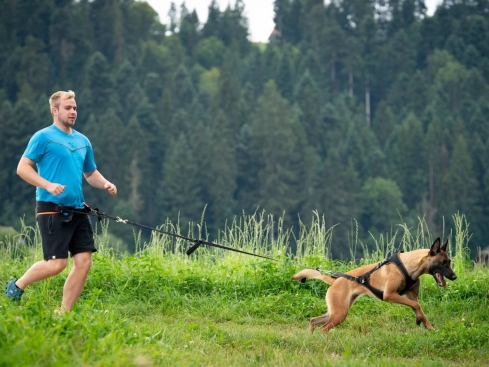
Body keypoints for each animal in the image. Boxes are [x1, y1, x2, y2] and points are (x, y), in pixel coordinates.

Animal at [292, 237, 456, 334]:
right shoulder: (389, 295)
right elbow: (417, 306)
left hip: (336, 311)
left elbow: (419, 307)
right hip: (340, 313)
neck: (408, 266)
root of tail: (335, 280)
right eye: (442, 263)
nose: (454, 277)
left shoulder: (412, 296)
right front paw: (420, 320)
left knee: (314, 320)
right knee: (323, 329)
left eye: (449, 262)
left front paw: (427, 325)